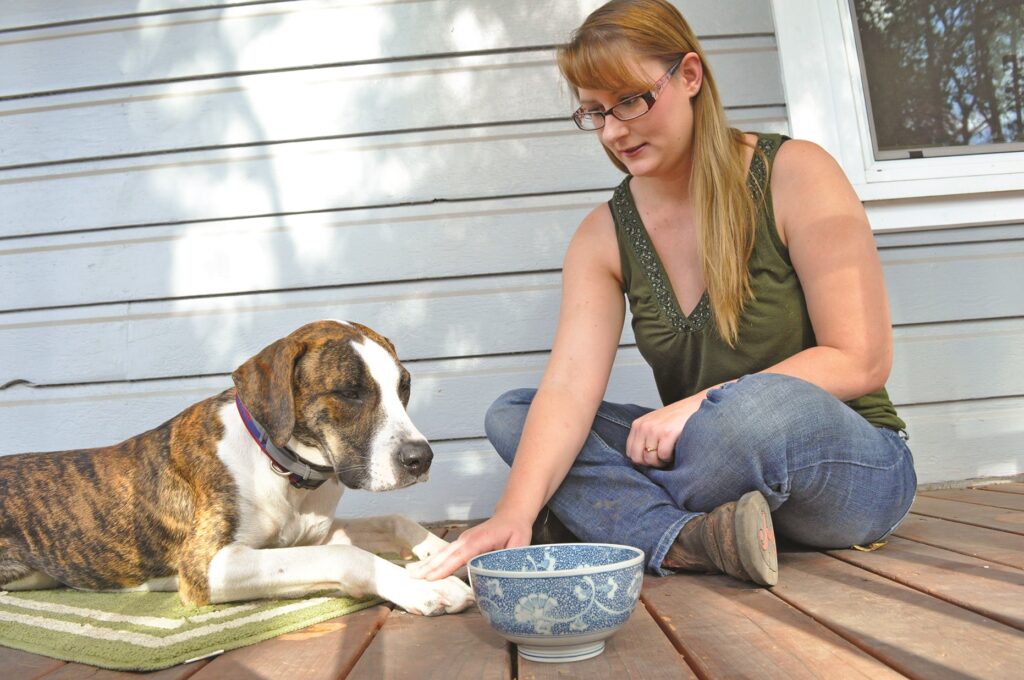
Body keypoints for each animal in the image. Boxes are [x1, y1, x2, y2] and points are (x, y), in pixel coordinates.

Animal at [1, 319, 475, 614]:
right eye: (350, 392)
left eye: (404, 387)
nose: (421, 458)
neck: (285, 471)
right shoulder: (209, 567)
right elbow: (346, 554)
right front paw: (426, 585)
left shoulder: (315, 531)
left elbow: (394, 519)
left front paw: (445, 555)